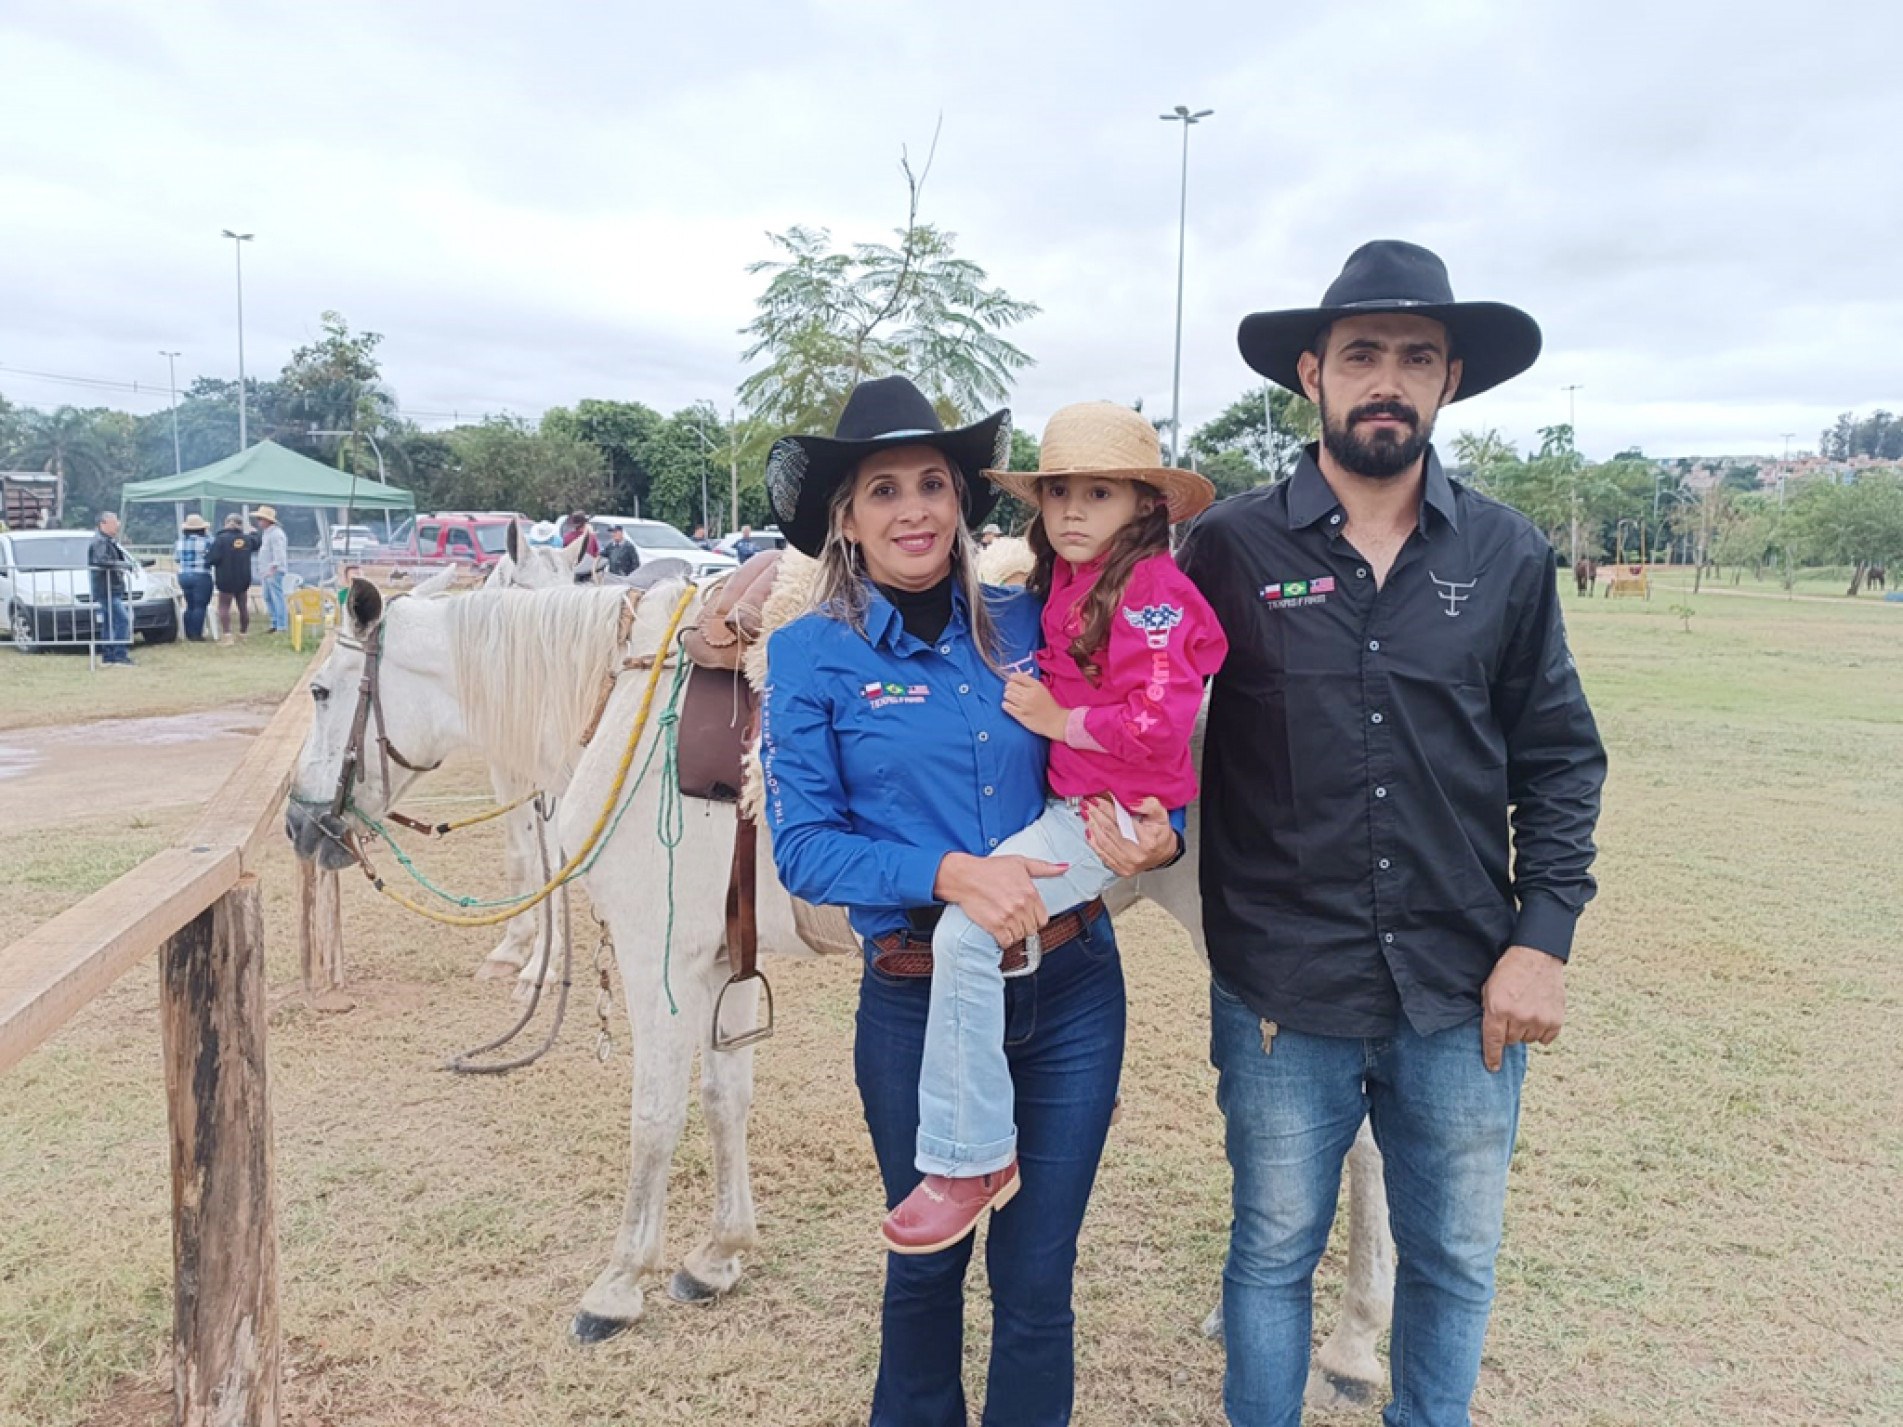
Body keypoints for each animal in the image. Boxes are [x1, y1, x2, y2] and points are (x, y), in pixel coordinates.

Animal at [277, 566, 1385, 1407]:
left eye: (324, 694)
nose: (297, 823)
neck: (617, 705)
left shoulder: (656, 958)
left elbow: (653, 1119)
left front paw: (619, 1282)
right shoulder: (720, 961)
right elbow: (725, 1098)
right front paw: (717, 1254)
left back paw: (1348, 1348)